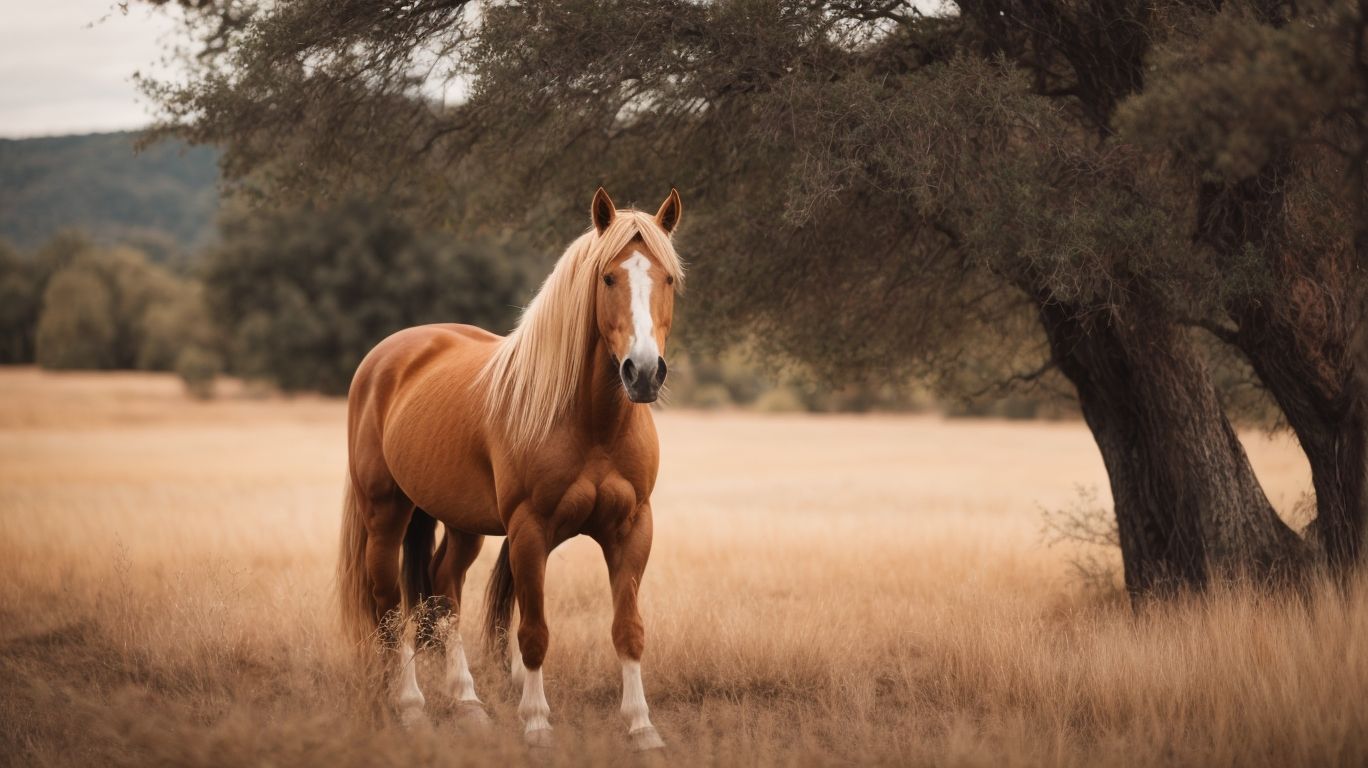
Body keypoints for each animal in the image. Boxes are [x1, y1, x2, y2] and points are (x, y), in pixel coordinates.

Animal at [337, 187, 683, 750]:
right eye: (608, 277)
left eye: (668, 278)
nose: (644, 372)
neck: (590, 423)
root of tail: (386, 357)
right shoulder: (529, 530)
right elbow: (533, 633)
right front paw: (537, 724)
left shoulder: (632, 528)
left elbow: (628, 630)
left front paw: (641, 727)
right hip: (385, 512)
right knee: (389, 606)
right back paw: (410, 708)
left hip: (462, 524)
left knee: (443, 589)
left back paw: (468, 703)